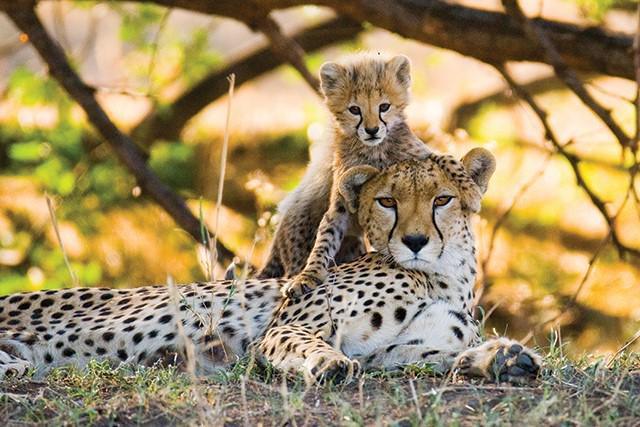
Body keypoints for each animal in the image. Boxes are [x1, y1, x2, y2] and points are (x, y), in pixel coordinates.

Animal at [0, 150, 540, 385]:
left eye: (441, 199)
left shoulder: (392, 352)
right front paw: (326, 363)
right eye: (387, 201)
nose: (413, 241)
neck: (443, 276)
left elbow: (439, 356)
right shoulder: (287, 326)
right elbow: (307, 344)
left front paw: (502, 358)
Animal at [258, 53, 431, 299]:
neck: (373, 152)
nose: (372, 130)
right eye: (354, 110)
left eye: (384, 106)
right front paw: (308, 276)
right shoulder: (339, 207)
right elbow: (325, 239)